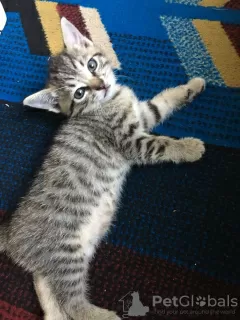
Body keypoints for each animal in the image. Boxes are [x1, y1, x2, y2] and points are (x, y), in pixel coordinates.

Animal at [0, 18, 206, 320]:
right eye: (79, 93)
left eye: (92, 65)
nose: (100, 85)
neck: (109, 101)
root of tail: (11, 234)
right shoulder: (130, 142)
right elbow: (162, 145)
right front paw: (190, 147)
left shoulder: (144, 114)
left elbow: (163, 101)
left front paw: (192, 84)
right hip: (67, 253)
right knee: (72, 303)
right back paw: (105, 315)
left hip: (54, 264)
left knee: (49, 292)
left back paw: (54, 314)